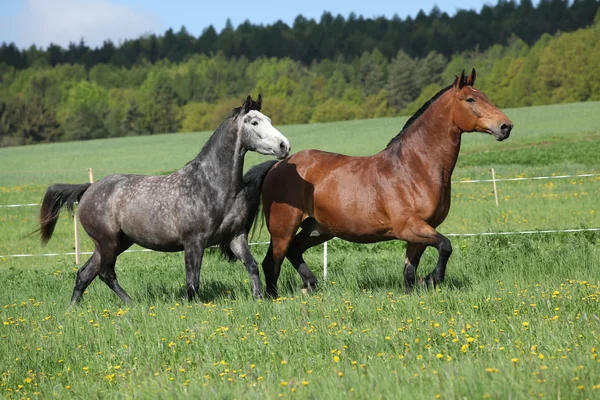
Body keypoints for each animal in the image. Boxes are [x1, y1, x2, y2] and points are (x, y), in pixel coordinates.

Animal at [38, 95, 290, 304]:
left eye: (268, 119)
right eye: (254, 122)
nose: (284, 145)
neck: (212, 185)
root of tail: (89, 188)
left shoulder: (236, 237)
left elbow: (252, 266)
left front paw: (259, 299)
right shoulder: (194, 242)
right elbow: (192, 282)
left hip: (115, 243)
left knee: (85, 274)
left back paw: (74, 308)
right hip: (107, 242)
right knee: (105, 273)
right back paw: (132, 304)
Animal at [245, 69, 516, 296]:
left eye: (484, 96)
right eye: (470, 100)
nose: (506, 126)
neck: (415, 168)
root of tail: (278, 165)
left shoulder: (419, 233)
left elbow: (409, 271)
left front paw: (416, 289)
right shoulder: (410, 227)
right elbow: (445, 246)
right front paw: (431, 279)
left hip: (318, 228)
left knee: (294, 251)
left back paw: (310, 285)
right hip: (283, 229)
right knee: (272, 262)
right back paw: (274, 297)